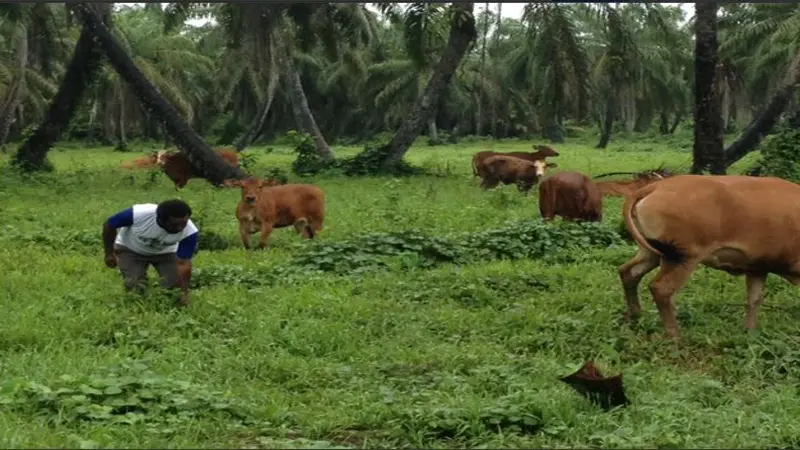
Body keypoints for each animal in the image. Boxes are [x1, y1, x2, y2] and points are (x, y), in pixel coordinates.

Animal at [620, 175, 800, 338]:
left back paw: (635, 316)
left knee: (628, 273)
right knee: (662, 289)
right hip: (683, 257)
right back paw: (675, 335)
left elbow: (754, 299)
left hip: (652, 252)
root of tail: (655, 187)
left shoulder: (758, 268)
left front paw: (749, 331)